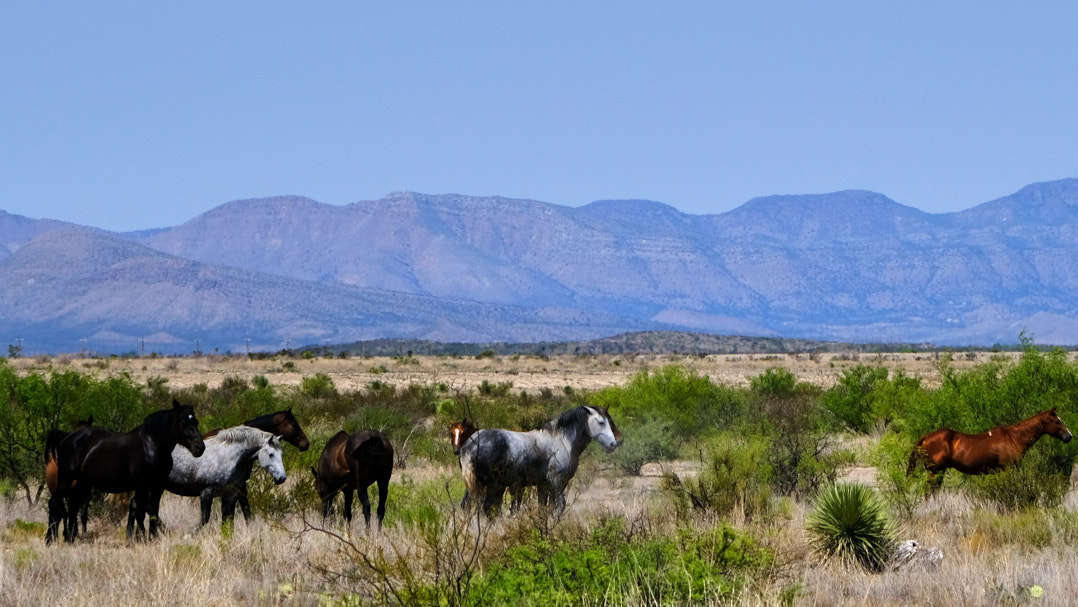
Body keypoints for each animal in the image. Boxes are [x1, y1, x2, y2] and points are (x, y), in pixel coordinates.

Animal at [47, 401, 205, 543]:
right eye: (183, 422)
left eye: (195, 422)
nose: (200, 447)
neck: (151, 446)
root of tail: (66, 438)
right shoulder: (142, 484)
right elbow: (138, 509)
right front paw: (135, 537)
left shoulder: (157, 486)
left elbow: (153, 510)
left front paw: (152, 537)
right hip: (66, 478)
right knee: (54, 503)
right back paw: (49, 539)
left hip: (81, 482)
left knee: (72, 506)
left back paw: (70, 538)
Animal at [127, 426, 286, 532]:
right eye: (271, 454)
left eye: (281, 453)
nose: (282, 478)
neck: (228, 457)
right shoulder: (206, 492)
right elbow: (205, 519)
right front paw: (187, 535)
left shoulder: (230, 495)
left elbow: (228, 522)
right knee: (140, 507)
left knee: (140, 506)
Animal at [457, 405, 625, 515]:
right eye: (601, 422)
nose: (614, 444)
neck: (562, 440)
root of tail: (470, 444)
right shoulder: (556, 481)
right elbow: (558, 507)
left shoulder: (543, 485)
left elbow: (544, 508)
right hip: (493, 485)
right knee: (486, 510)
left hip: (475, 485)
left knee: (467, 507)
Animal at [905, 407, 1073, 489]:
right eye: (1057, 421)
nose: (1069, 436)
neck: (1014, 437)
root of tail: (926, 436)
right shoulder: (1009, 468)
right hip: (934, 471)